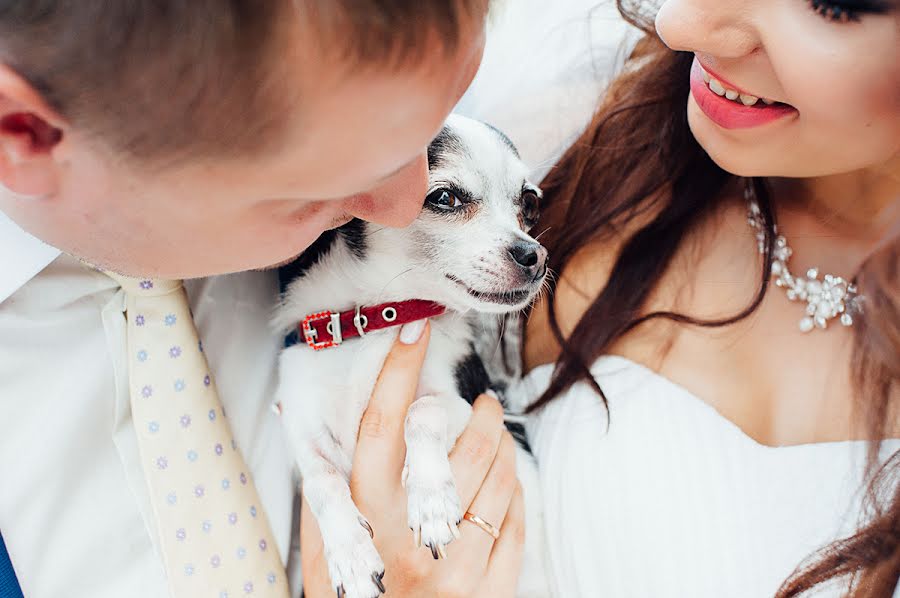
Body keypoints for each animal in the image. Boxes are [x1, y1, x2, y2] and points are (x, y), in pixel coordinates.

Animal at [276, 115, 548, 596]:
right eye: (444, 197)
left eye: (529, 203)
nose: (534, 254)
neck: (375, 319)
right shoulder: (304, 431)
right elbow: (320, 482)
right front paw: (349, 554)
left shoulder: (473, 406)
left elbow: (422, 410)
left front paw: (432, 500)